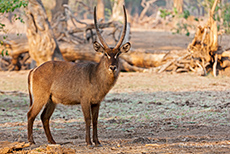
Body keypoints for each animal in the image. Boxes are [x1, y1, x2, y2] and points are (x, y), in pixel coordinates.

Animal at [26, 5, 130, 147]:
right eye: (105, 54)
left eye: (118, 54)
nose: (113, 67)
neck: (95, 75)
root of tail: (34, 69)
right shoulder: (85, 100)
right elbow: (87, 119)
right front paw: (89, 142)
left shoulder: (96, 102)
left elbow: (95, 120)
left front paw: (97, 142)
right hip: (40, 98)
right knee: (31, 114)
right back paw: (31, 141)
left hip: (51, 100)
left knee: (44, 117)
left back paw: (53, 141)